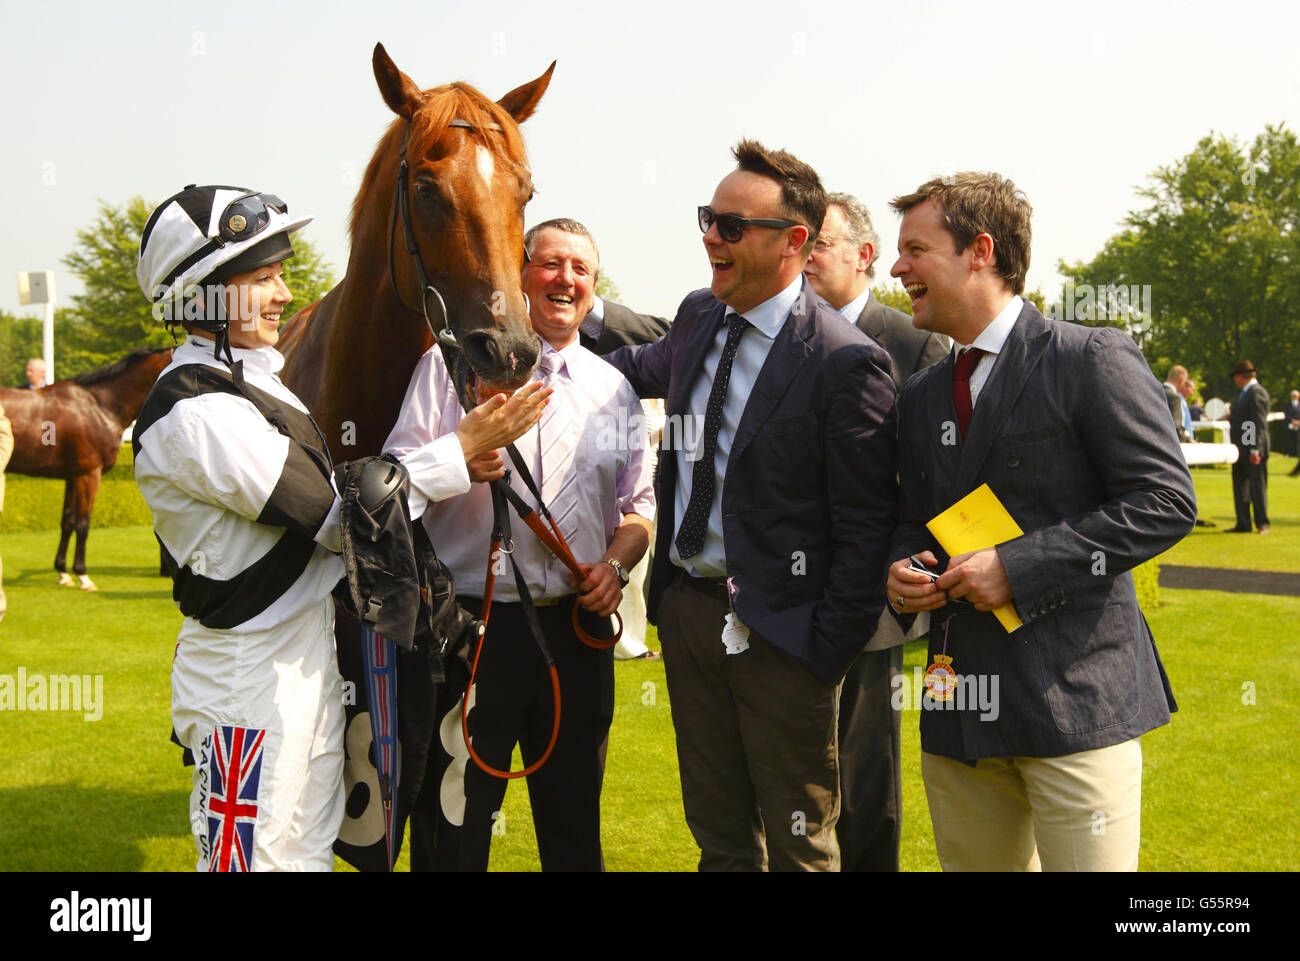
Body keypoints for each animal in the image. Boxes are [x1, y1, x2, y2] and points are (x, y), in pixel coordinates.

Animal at [1, 343, 174, 585]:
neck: (100, 407)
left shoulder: (73, 476)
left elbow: (68, 521)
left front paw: (63, 572)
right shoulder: (89, 474)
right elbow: (83, 523)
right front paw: (82, 575)